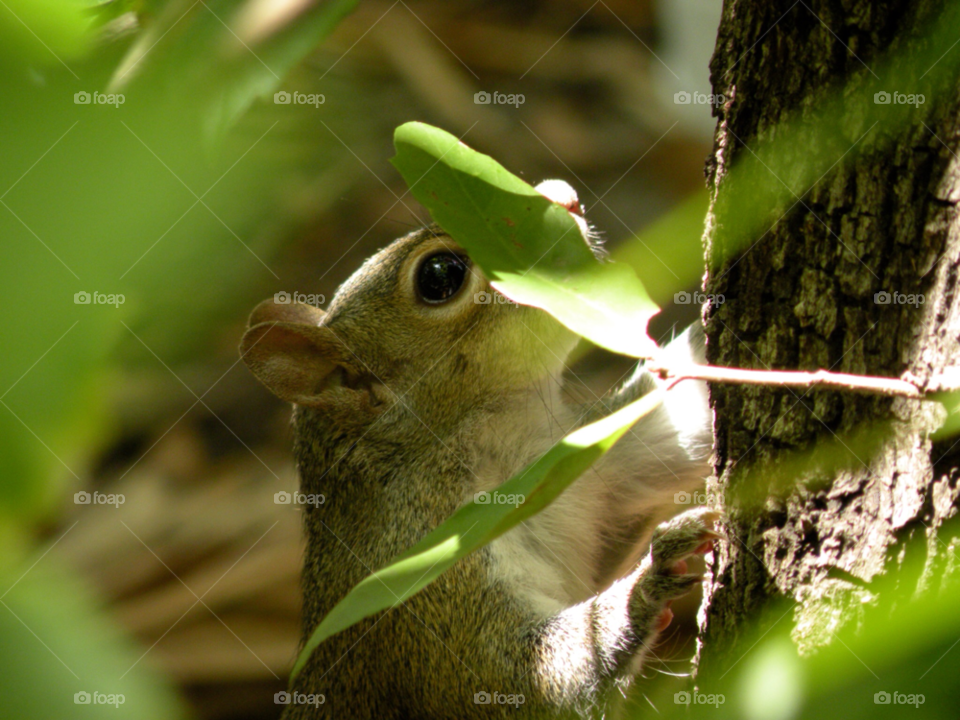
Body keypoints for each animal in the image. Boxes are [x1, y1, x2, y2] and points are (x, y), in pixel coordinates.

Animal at [241, 181, 716, 719]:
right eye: (439, 275)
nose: (566, 196)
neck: (505, 443)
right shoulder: (417, 578)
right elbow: (526, 681)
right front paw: (647, 583)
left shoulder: (585, 463)